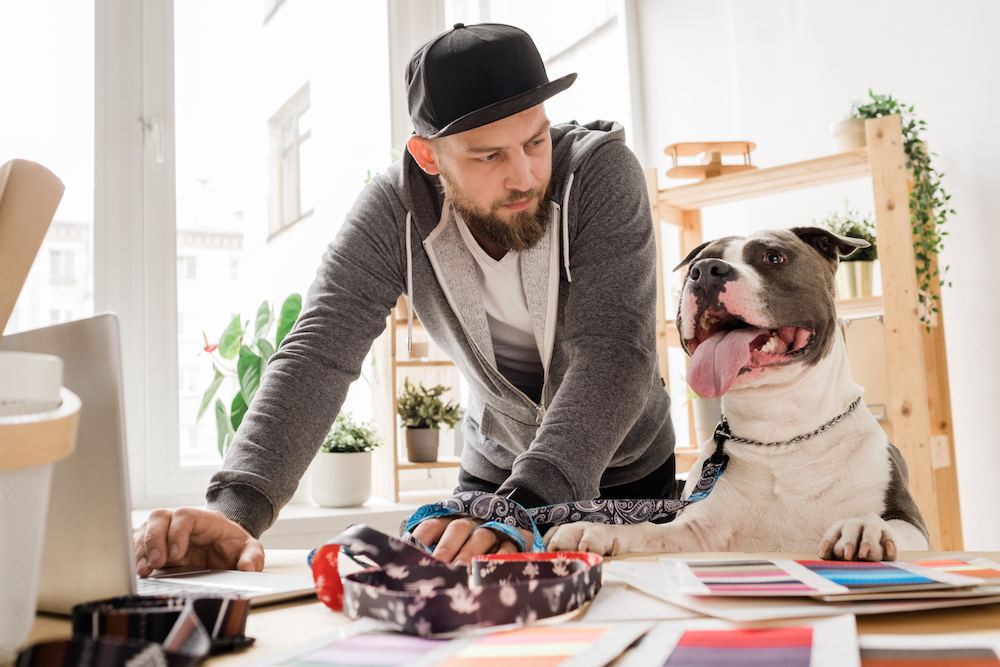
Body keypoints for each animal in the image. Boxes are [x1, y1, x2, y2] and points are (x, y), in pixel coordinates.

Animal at [548, 227, 928, 560]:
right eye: (696, 265)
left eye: (773, 256)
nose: (705, 272)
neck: (779, 431)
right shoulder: (699, 531)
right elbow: (649, 531)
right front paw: (596, 529)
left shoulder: (911, 522)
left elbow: (887, 523)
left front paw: (864, 528)